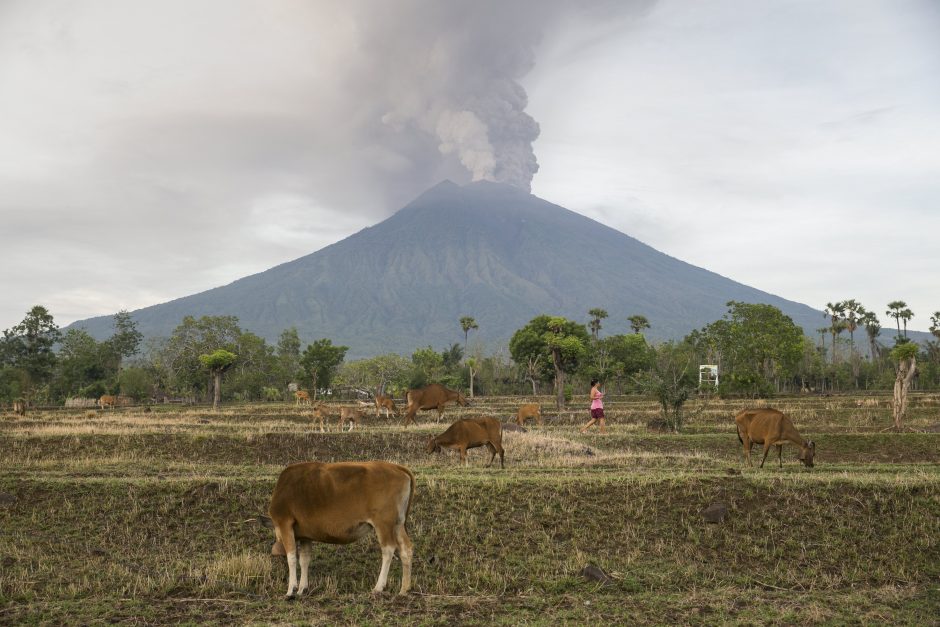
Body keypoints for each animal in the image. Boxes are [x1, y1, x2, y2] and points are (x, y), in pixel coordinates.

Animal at [262, 462, 414, 600]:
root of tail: (396, 467)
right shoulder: (306, 535)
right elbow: (304, 559)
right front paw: (302, 589)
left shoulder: (285, 523)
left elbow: (292, 557)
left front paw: (291, 590)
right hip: (398, 524)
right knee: (406, 549)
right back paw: (404, 589)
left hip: (383, 524)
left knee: (388, 550)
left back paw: (378, 587)